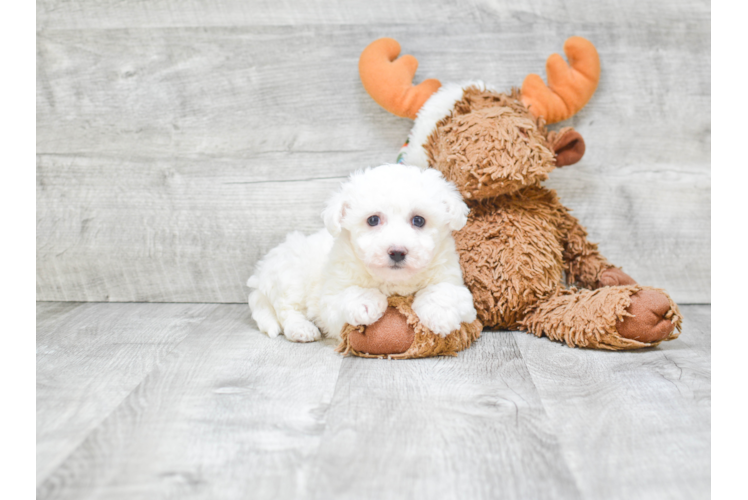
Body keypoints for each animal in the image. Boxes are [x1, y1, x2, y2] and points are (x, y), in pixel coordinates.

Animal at [248, 164, 476, 344]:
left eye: (419, 220)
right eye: (373, 220)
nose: (397, 252)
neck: (393, 282)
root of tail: (260, 275)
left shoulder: (452, 280)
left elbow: (444, 290)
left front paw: (440, 313)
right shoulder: (330, 299)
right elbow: (346, 295)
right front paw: (365, 302)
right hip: (291, 275)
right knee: (287, 310)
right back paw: (301, 329)